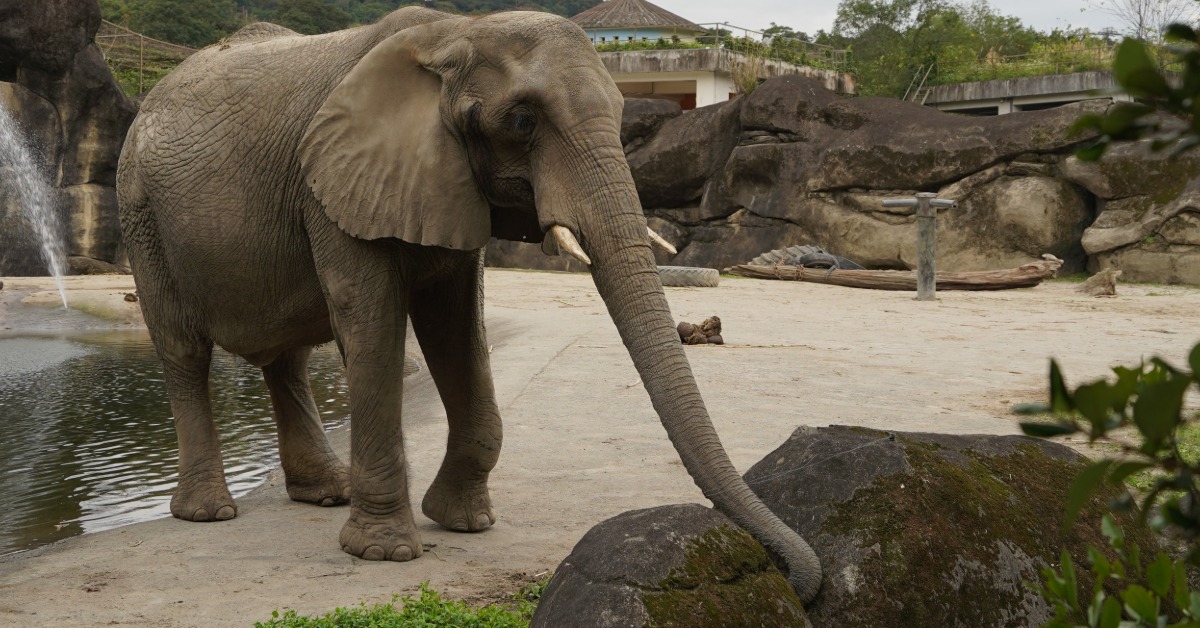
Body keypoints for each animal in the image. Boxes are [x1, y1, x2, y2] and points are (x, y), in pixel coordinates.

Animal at [116, 7, 822, 603]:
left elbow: (457, 326)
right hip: (141, 212)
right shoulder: (334, 184)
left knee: (285, 358)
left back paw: (325, 493)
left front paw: (464, 524)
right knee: (184, 351)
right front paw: (385, 554)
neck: (456, 32)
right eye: (523, 122)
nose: (798, 580)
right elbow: (369, 320)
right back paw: (209, 512)